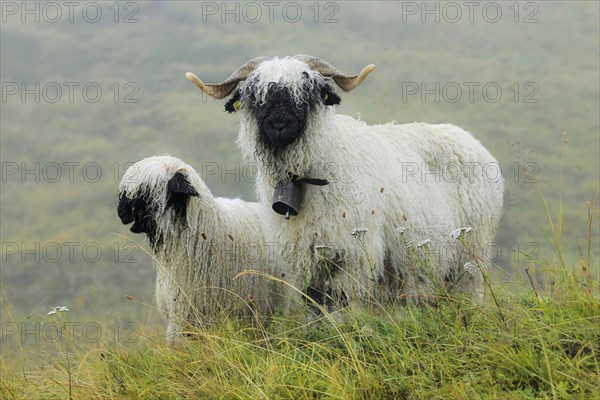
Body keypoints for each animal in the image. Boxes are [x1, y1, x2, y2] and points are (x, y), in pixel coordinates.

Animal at [185, 55, 504, 312]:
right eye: (254, 94)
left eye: (308, 90)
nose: (279, 126)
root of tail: (468, 138)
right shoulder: (306, 260)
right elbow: (315, 310)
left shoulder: (354, 256)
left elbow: (343, 308)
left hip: (471, 257)